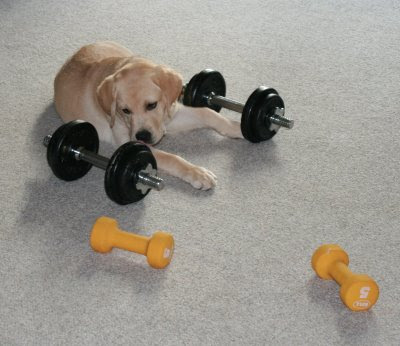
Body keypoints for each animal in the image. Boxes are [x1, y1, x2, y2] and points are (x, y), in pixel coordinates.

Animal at [54, 42, 242, 192]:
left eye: (152, 105)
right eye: (125, 110)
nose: (142, 136)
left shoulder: (172, 114)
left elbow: (207, 113)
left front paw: (238, 127)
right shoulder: (128, 141)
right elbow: (171, 158)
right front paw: (198, 173)